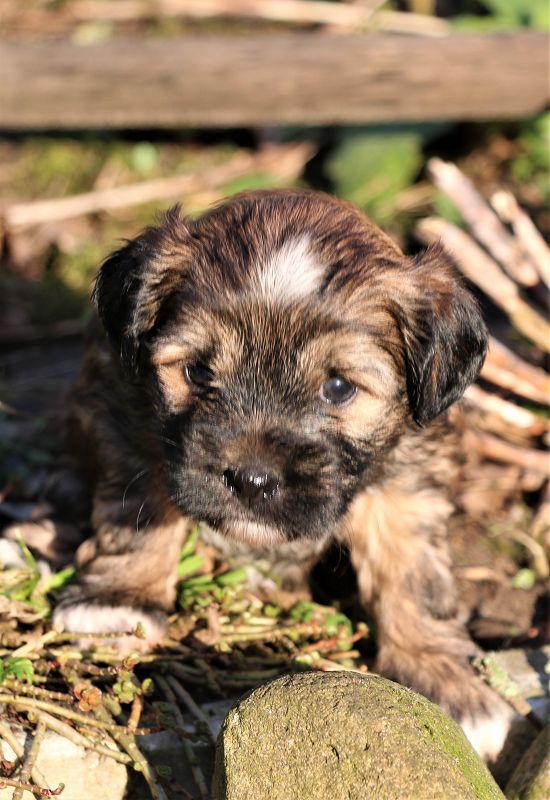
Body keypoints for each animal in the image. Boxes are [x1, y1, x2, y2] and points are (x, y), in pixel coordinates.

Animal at [49, 191, 516, 760]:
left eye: (338, 388)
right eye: (198, 371)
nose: (252, 480)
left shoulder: (409, 471)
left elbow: (413, 570)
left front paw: (441, 675)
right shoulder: (126, 410)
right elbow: (137, 510)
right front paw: (119, 599)